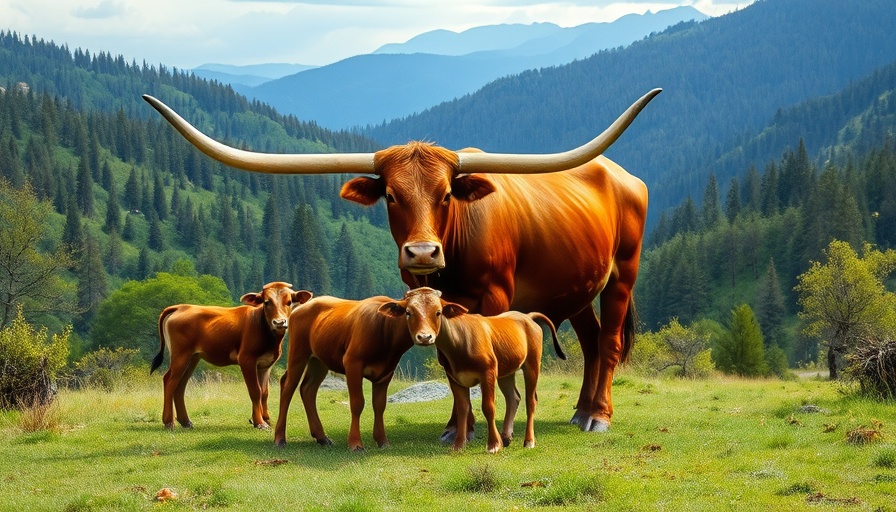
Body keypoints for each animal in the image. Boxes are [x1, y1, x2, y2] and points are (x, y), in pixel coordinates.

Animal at [151, 282, 312, 429]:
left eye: (289, 302)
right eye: (267, 302)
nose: (279, 322)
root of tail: (181, 306)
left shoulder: (266, 364)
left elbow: (265, 392)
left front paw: (266, 419)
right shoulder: (247, 359)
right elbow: (255, 391)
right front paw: (259, 422)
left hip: (192, 357)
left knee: (180, 385)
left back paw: (185, 421)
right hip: (180, 355)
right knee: (169, 381)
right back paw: (169, 422)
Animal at [274, 294, 415, 451]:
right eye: (408, 312)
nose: (425, 336)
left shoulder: (387, 372)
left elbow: (379, 405)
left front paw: (382, 441)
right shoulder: (352, 363)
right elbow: (357, 403)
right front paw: (355, 444)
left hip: (319, 361)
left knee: (307, 389)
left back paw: (322, 437)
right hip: (298, 353)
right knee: (288, 386)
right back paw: (280, 438)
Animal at [379, 287, 565, 453]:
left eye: (438, 312)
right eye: (408, 312)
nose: (425, 337)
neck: (459, 345)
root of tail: (527, 316)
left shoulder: (487, 372)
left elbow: (488, 407)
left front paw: (493, 445)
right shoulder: (454, 377)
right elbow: (462, 409)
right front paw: (459, 445)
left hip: (532, 364)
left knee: (530, 400)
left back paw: (528, 441)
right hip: (506, 370)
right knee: (513, 398)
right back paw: (506, 437)